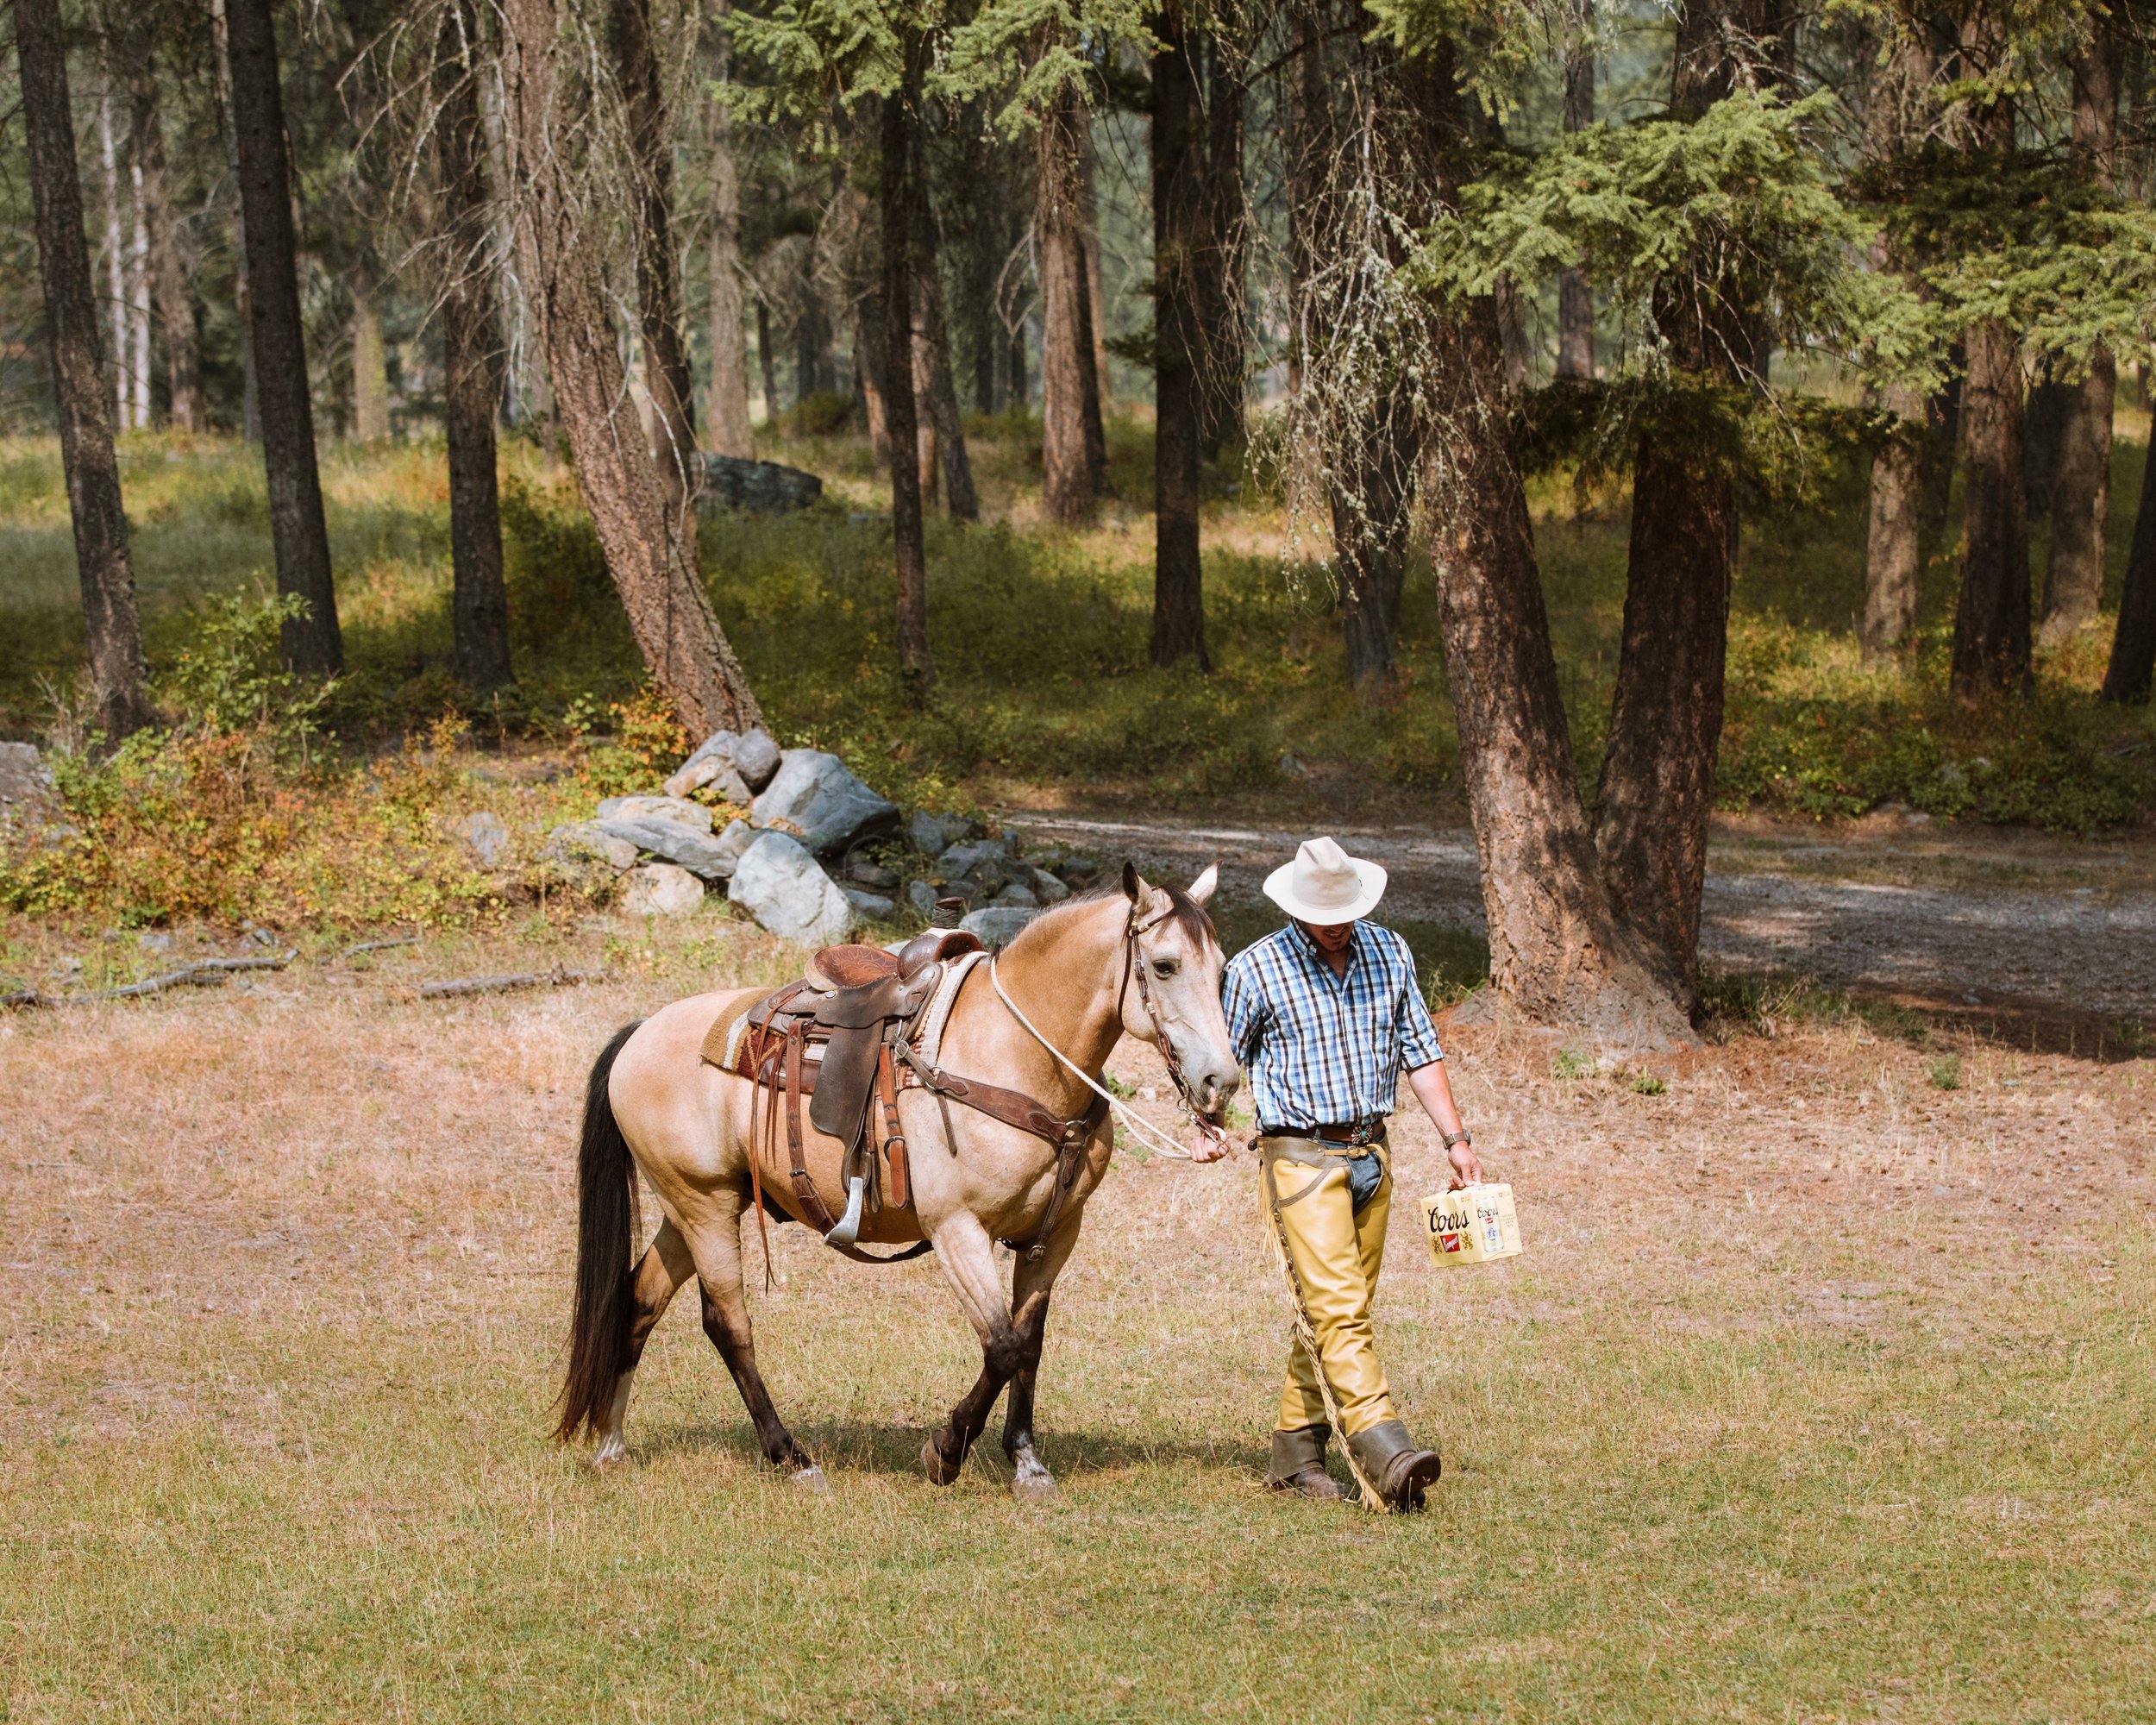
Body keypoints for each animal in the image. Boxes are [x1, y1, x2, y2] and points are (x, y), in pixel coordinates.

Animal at [548, 862, 1242, 1492]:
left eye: (1221, 969)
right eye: (1164, 965)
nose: (1222, 1081)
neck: (1015, 1055)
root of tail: (641, 1032)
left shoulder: (1054, 1235)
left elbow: (1030, 1343)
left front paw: (1026, 1460)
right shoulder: (956, 1230)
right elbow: (1002, 1345)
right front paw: (945, 1452)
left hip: (688, 1208)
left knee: (639, 1300)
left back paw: (611, 1444)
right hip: (705, 1205)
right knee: (727, 1324)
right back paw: (791, 1458)